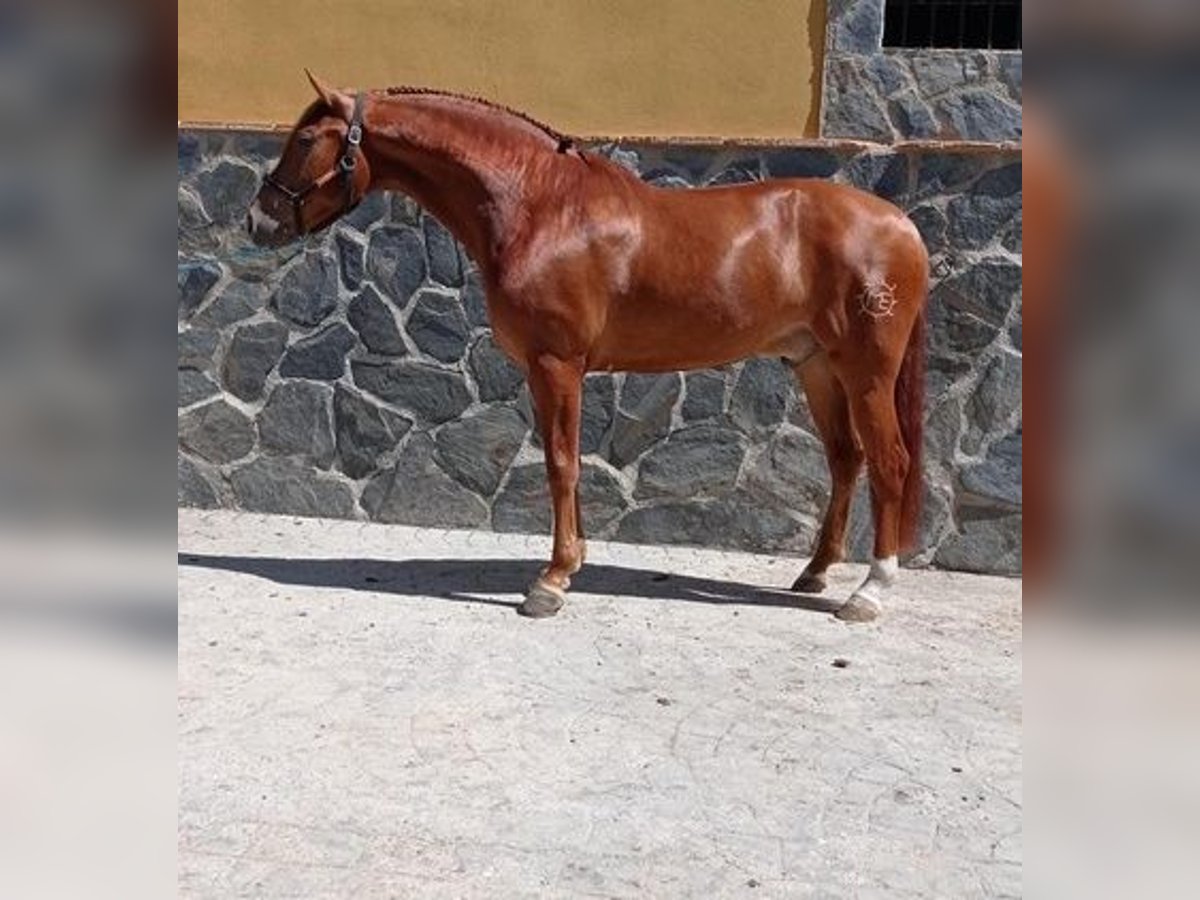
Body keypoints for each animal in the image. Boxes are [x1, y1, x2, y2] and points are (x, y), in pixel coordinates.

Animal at [250, 74, 926, 624]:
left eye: (306, 140)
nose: (260, 221)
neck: (541, 206)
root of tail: (901, 225)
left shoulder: (556, 364)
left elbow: (560, 464)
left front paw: (549, 583)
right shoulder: (552, 368)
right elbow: (567, 463)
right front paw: (570, 564)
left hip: (865, 371)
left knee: (889, 462)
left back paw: (868, 592)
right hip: (817, 367)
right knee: (846, 460)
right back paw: (815, 573)